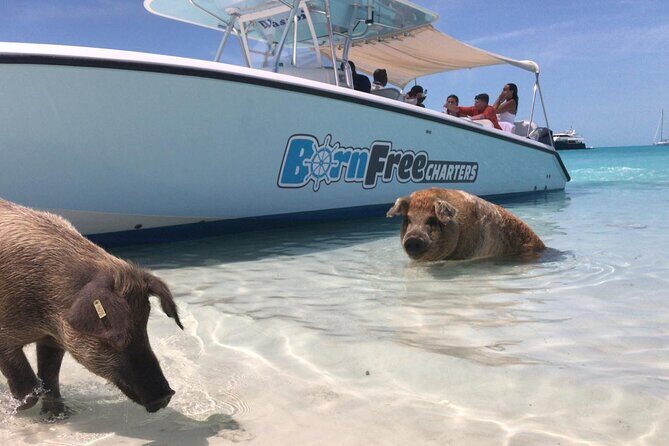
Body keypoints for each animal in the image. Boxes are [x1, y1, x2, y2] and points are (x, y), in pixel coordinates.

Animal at [0, 198, 183, 417]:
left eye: (144, 327)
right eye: (115, 338)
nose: (166, 395)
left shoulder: (53, 340)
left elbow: (50, 377)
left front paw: (59, 416)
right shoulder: (5, 337)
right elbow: (29, 385)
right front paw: (13, 410)